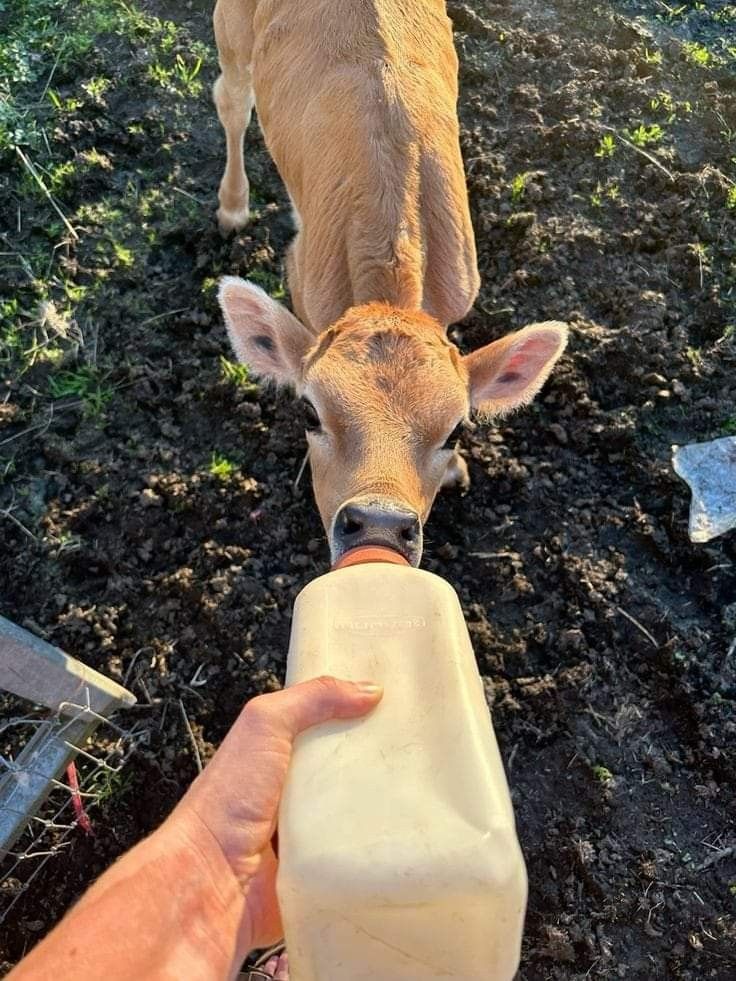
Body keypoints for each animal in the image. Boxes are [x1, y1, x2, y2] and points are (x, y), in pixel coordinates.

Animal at [213, 0, 568, 564]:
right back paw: (232, 207)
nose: (378, 525)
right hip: (232, 32)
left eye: (457, 429)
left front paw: (456, 470)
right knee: (231, 100)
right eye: (309, 412)